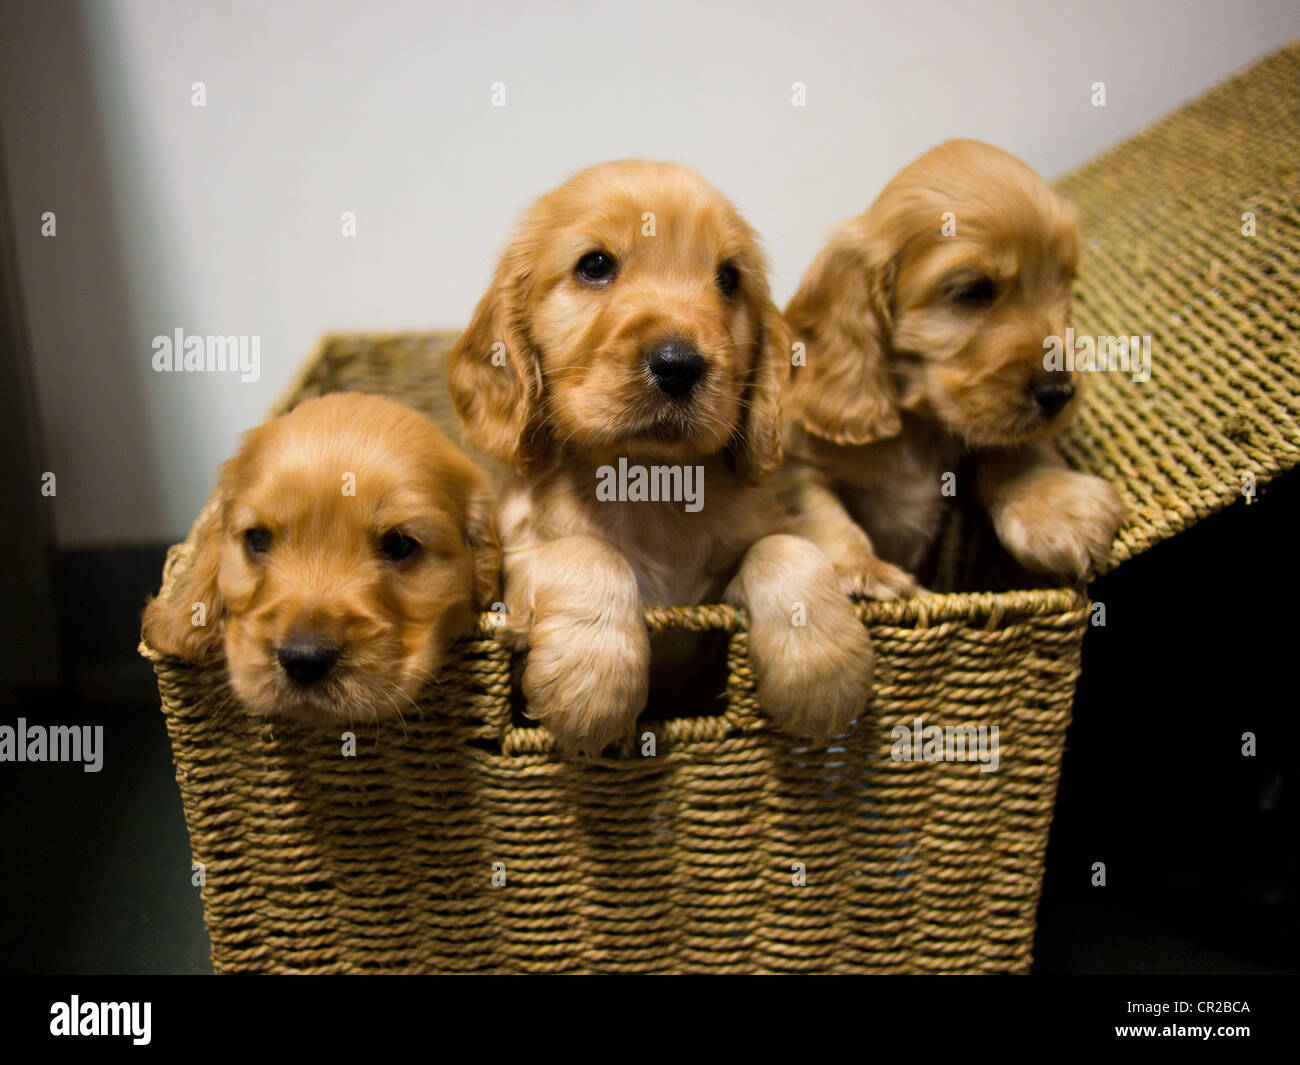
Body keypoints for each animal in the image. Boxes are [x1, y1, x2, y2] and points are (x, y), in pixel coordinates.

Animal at [780, 138, 1128, 582]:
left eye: (1064, 284)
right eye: (973, 290)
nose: (1060, 394)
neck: (915, 431)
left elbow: (1011, 447)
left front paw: (1055, 508)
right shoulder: (796, 463)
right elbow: (818, 513)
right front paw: (862, 571)